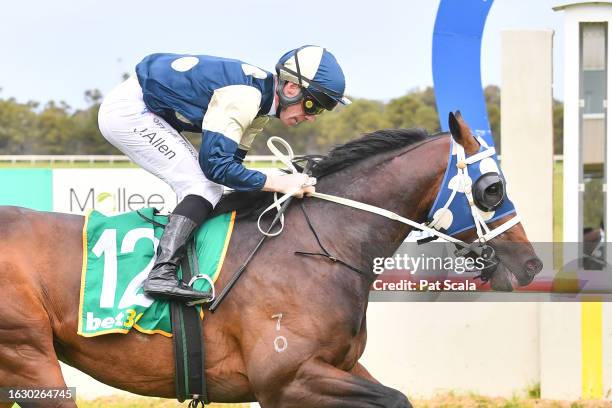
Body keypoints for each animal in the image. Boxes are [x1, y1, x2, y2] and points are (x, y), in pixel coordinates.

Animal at [2, 115, 544, 408]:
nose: (531, 264)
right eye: (492, 188)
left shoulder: (340, 367)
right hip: (28, 358)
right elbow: (397, 397)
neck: (322, 246)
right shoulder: (286, 379)